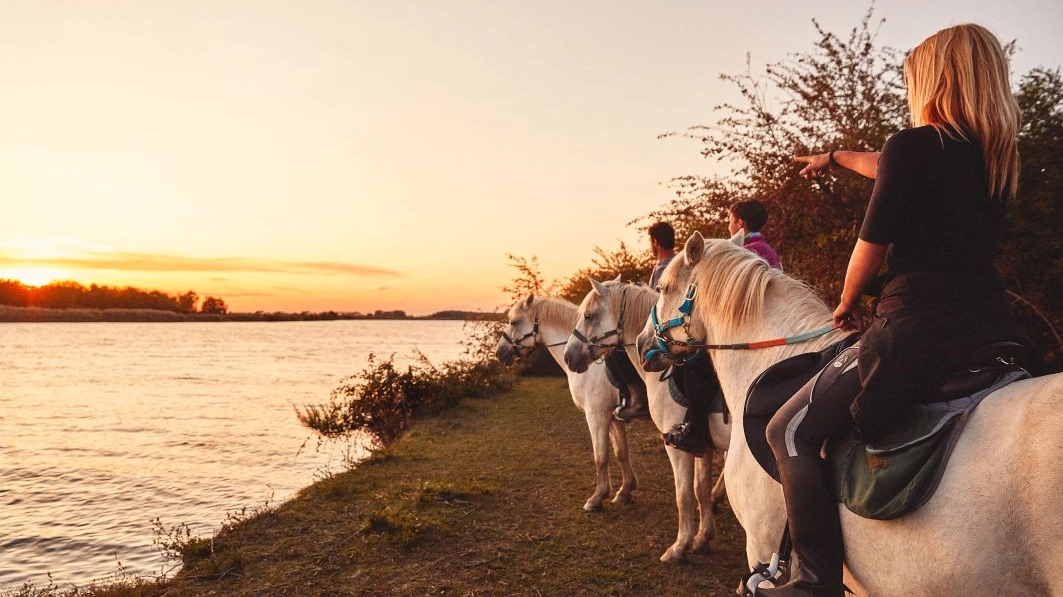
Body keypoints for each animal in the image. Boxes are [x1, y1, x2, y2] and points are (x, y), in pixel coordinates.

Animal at [493, 295, 633, 509]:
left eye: (514, 322)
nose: (499, 353)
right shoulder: (613, 417)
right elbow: (621, 452)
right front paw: (624, 492)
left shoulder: (596, 415)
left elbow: (600, 457)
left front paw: (597, 497)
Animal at [565, 276, 731, 560]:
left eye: (588, 316)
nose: (569, 356)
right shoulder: (702, 444)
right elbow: (700, 489)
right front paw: (702, 538)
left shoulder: (675, 444)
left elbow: (683, 494)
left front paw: (680, 546)